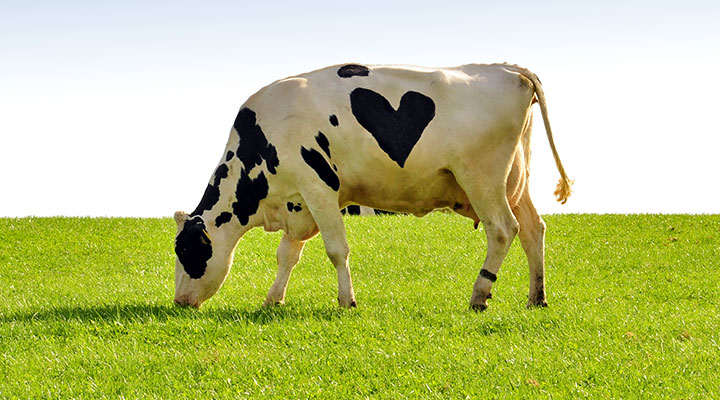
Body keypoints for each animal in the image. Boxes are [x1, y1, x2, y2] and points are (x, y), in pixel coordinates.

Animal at [173, 63, 572, 311]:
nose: (179, 301)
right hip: (516, 180)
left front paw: (346, 301)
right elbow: (287, 254)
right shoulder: (299, 203)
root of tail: (508, 68)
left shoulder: (319, 188)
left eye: (187, 251)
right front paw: (274, 298)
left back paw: (480, 294)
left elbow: (336, 249)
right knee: (533, 229)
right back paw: (536, 296)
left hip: (482, 177)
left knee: (503, 229)